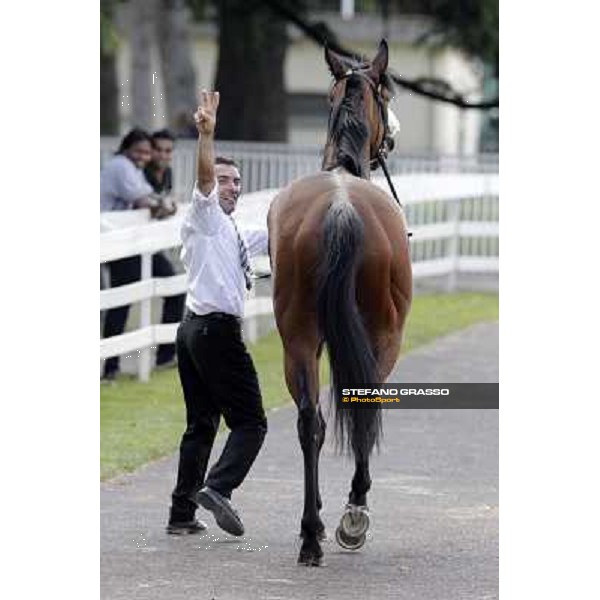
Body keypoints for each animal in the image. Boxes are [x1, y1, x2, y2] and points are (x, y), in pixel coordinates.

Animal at [268, 39, 412, 564]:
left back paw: (311, 533)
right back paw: (350, 518)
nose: (392, 135)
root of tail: (341, 206)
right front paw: (354, 517)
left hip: (297, 339)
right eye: (387, 93)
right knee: (360, 411)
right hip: (381, 336)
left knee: (310, 422)